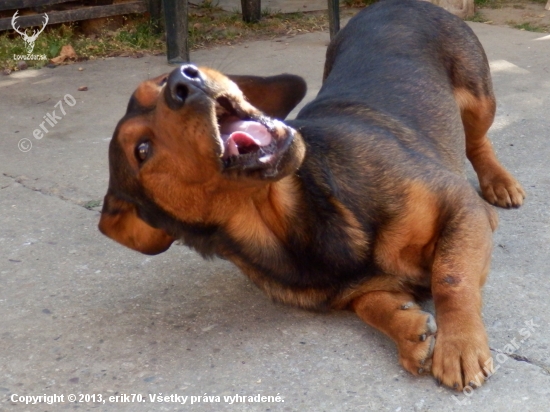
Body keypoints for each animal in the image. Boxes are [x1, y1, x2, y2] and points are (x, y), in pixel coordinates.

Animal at [98, 0, 528, 392]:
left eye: (158, 83)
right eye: (141, 150)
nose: (184, 77)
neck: (300, 212)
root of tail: (395, 2)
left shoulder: (463, 207)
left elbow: (451, 276)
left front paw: (459, 345)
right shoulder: (343, 292)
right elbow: (369, 303)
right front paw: (407, 328)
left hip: (479, 99)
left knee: (477, 141)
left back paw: (499, 181)